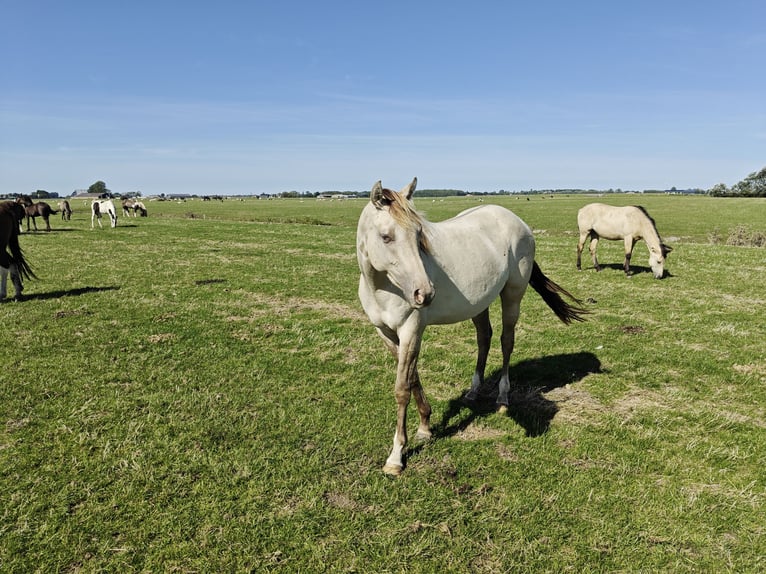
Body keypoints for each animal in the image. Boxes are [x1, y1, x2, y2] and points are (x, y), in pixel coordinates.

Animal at [357, 178, 588, 475]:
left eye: (419, 235)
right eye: (386, 237)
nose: (425, 294)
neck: (383, 286)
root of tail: (518, 222)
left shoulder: (411, 330)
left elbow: (402, 388)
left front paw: (396, 457)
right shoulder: (386, 333)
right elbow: (413, 378)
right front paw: (425, 427)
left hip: (512, 296)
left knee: (506, 341)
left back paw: (502, 399)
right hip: (480, 303)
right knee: (484, 337)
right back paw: (473, 391)